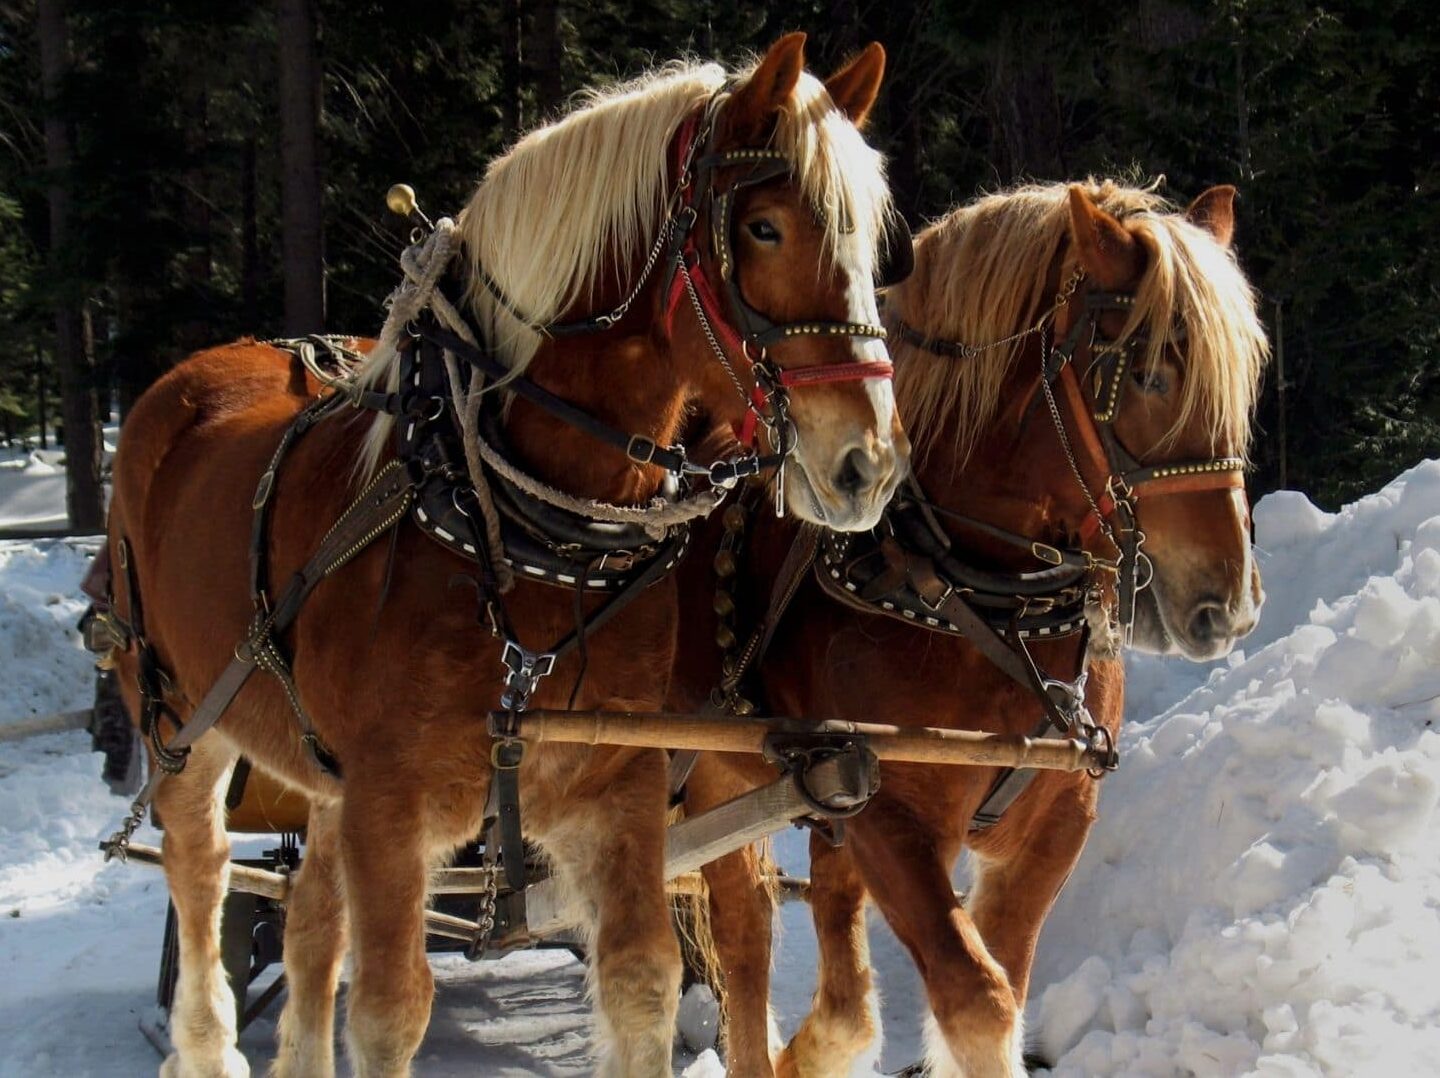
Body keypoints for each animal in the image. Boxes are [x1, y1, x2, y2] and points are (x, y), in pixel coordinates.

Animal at [106, 35, 904, 1076]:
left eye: (870, 244)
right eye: (764, 228)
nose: (867, 464)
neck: (529, 536)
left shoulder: (615, 789)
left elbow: (642, 982)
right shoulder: (391, 805)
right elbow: (390, 1009)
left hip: (319, 772)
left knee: (311, 923)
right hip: (180, 721)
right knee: (200, 878)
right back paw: (203, 1032)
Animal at [676, 180, 1272, 1070]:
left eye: (1241, 383)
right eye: (1148, 374)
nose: (1225, 605)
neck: (971, 599)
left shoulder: (1051, 823)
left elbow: (1002, 988)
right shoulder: (890, 817)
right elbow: (977, 1002)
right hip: (716, 773)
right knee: (745, 936)